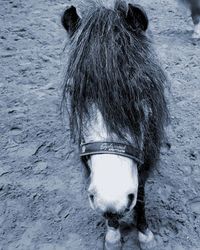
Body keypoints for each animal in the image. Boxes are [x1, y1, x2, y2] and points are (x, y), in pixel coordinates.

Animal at [61, 1, 169, 248]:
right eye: (72, 90)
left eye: (141, 87)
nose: (112, 199)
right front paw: (112, 234)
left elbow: (141, 194)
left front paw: (144, 233)